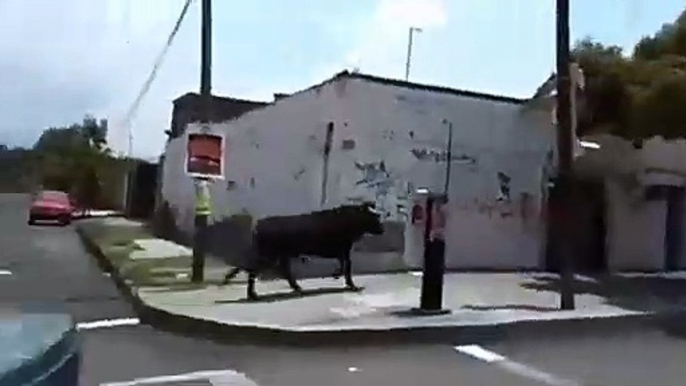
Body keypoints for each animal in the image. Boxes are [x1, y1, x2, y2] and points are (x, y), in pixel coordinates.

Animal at [226, 204, 388, 300]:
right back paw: (252, 294)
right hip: (269, 255)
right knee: (253, 271)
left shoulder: (341, 250)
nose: (382, 229)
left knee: (283, 271)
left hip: (280, 256)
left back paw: (297, 288)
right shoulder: (343, 249)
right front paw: (351, 285)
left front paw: (338, 275)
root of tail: (258, 225)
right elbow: (347, 266)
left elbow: (344, 264)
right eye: (374, 216)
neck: (350, 219)